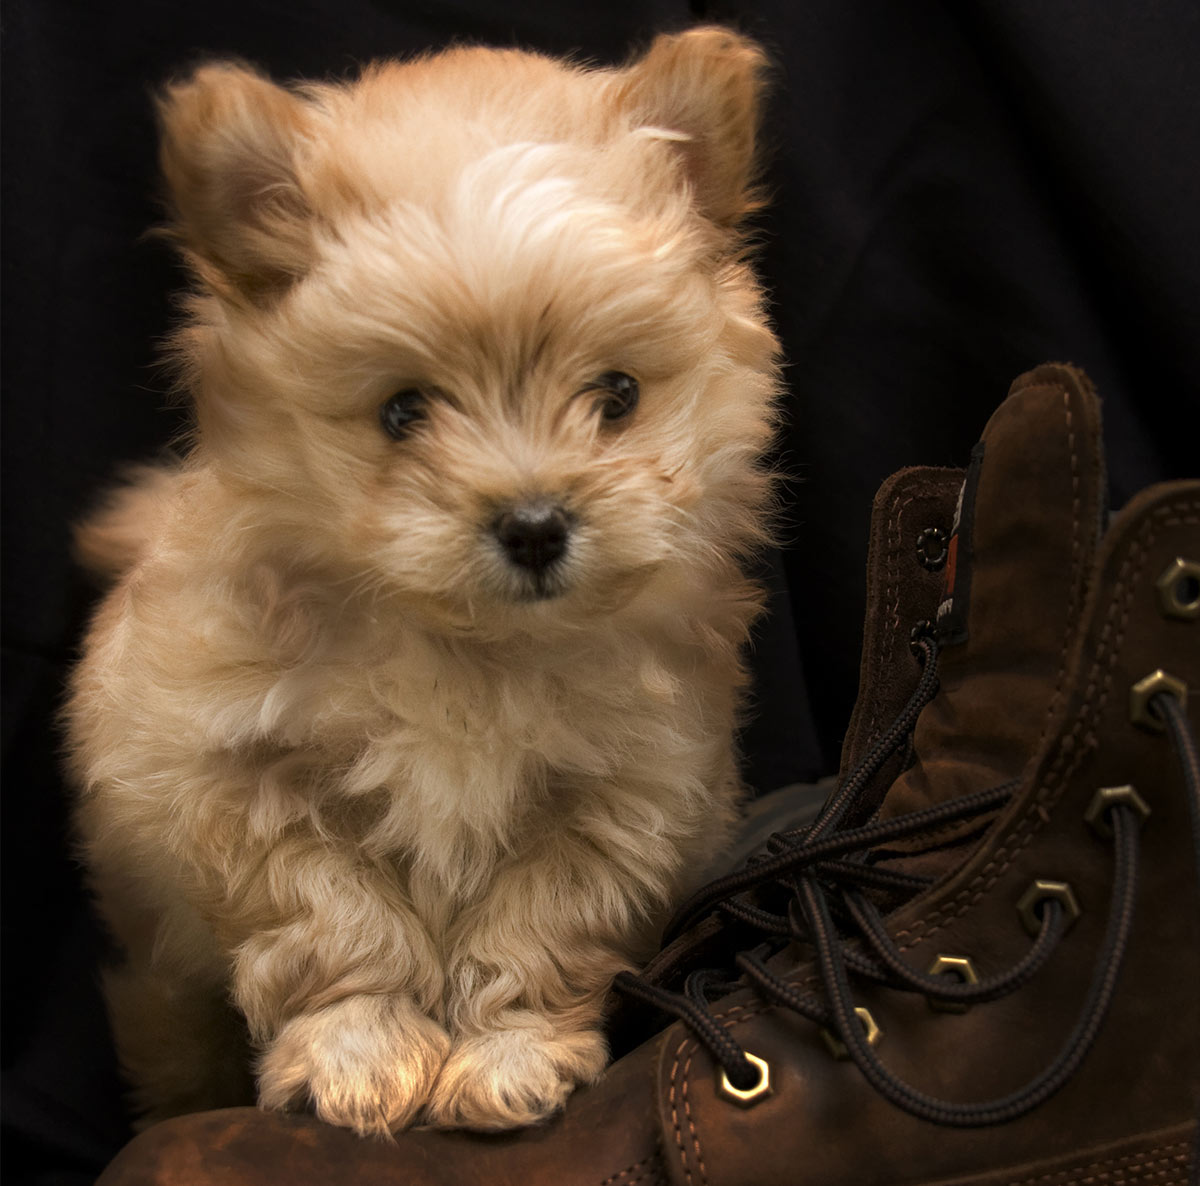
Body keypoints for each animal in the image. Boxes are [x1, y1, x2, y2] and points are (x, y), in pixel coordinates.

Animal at [65, 27, 777, 1133]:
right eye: (402, 412)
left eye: (617, 395)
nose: (534, 525)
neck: (467, 646)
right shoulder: (238, 777)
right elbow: (336, 922)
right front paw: (356, 1056)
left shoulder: (622, 795)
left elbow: (539, 927)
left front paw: (508, 1055)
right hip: (159, 966)